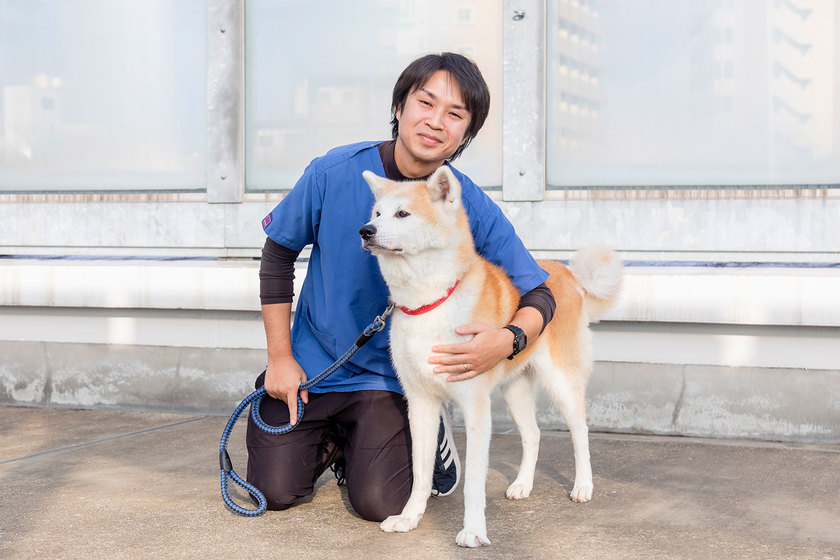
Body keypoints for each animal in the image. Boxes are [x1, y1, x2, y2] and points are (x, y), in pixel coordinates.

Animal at [358, 166, 622, 547]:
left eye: (403, 214)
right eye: (377, 214)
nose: (365, 231)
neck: (429, 302)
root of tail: (566, 272)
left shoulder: (475, 407)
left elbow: (472, 483)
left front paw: (473, 531)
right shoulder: (421, 403)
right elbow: (421, 472)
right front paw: (409, 518)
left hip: (561, 383)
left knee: (580, 431)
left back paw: (583, 486)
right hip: (515, 390)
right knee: (533, 434)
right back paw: (523, 484)